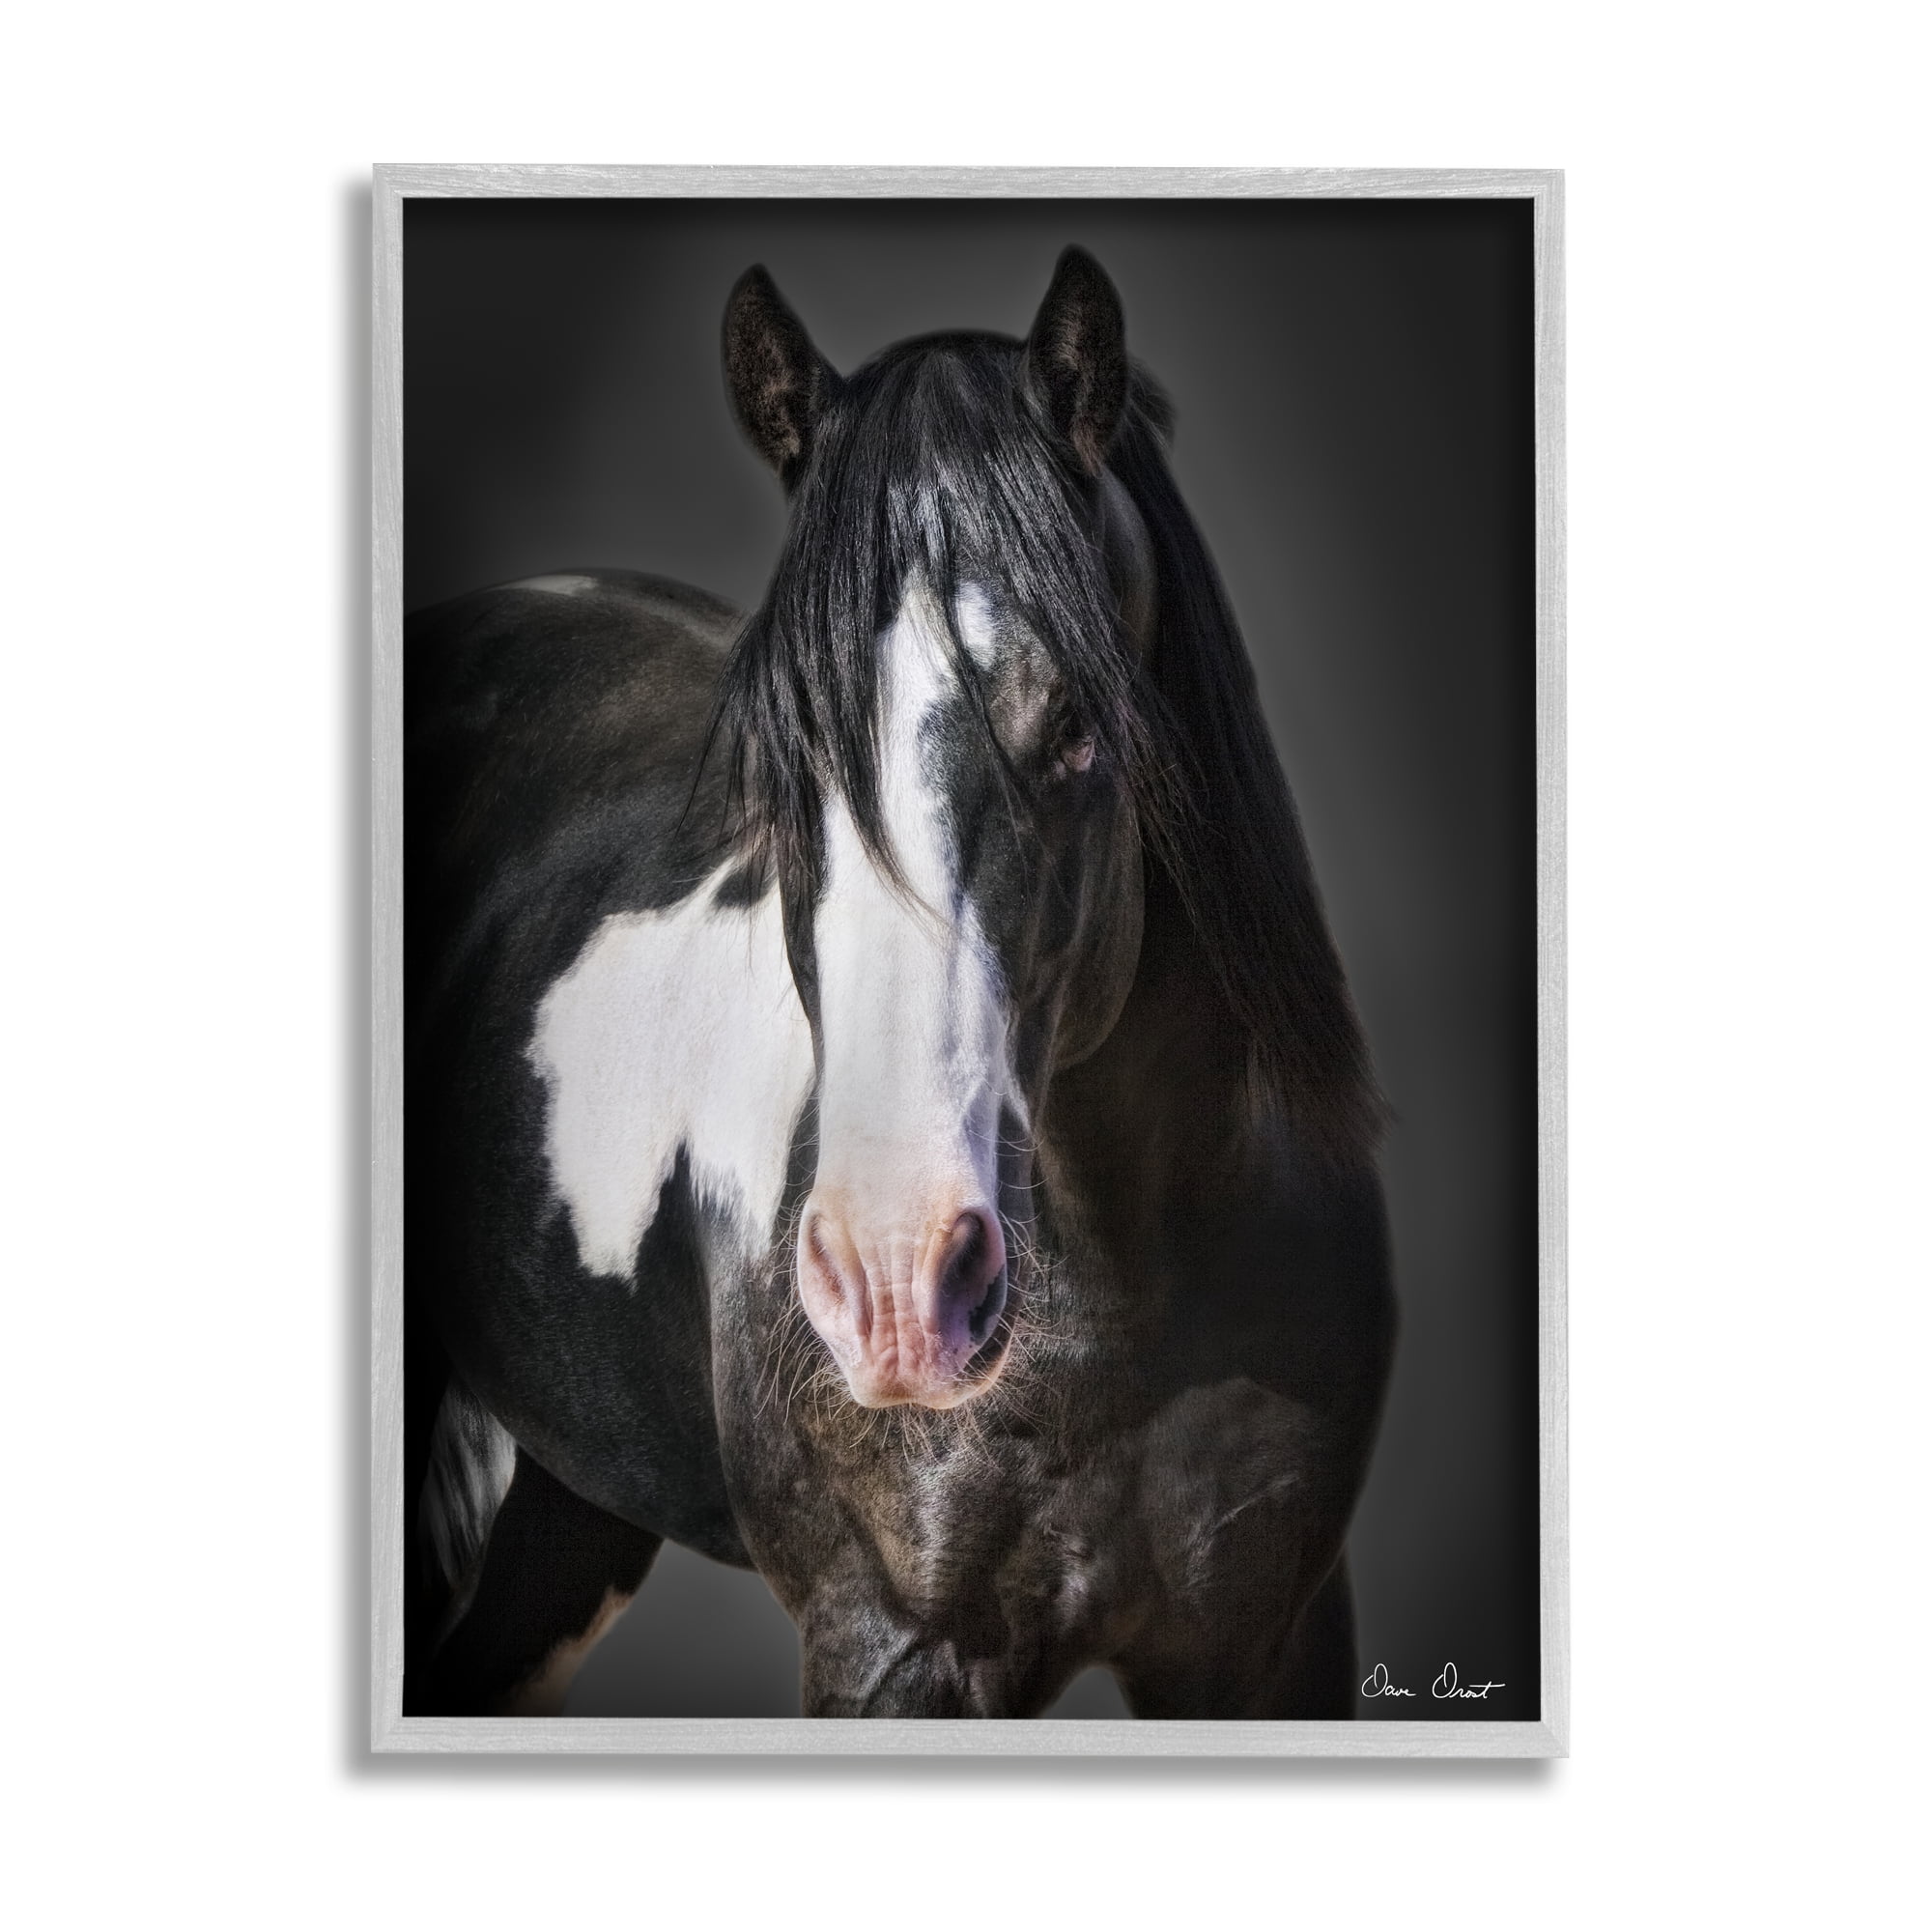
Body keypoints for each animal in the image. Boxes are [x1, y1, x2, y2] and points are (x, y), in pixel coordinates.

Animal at [401, 246, 1396, 1719]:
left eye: (1077, 725)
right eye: (778, 747)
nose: (894, 1283)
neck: (1134, 1285)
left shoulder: (1266, 1644)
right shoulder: (894, 1652)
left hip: (570, 1505)